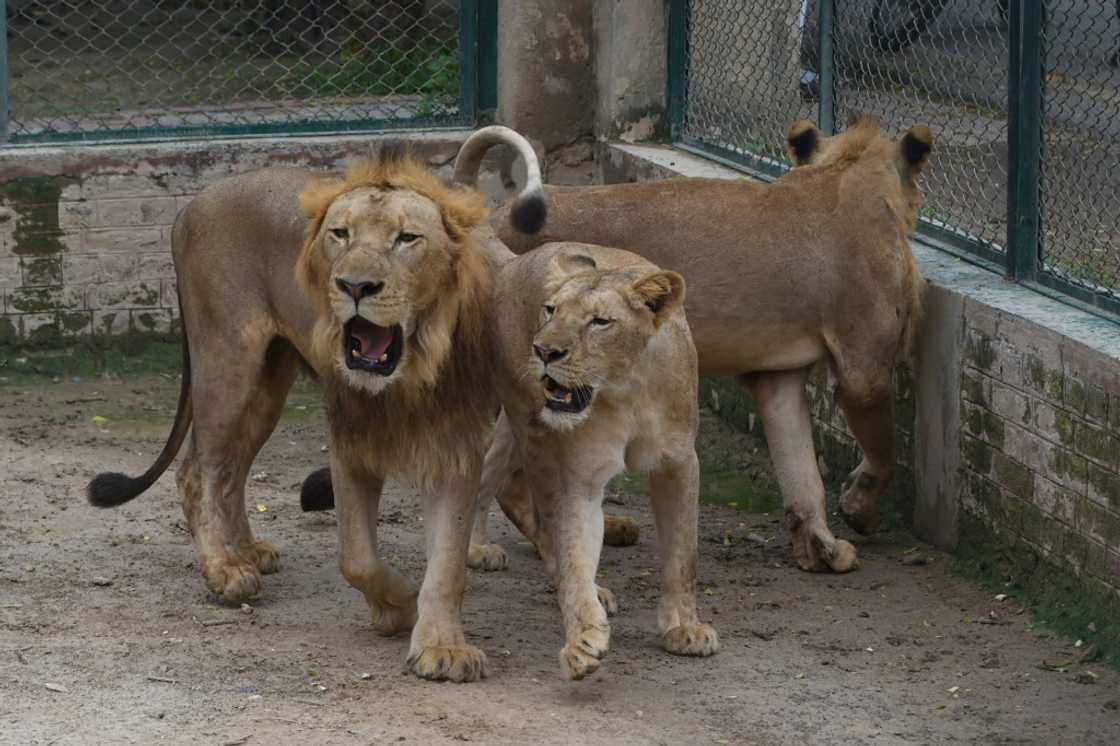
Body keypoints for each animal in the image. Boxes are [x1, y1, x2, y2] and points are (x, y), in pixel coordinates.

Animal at [84, 127, 545, 683]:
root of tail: (191, 205)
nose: (354, 286)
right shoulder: (349, 440)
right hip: (227, 359)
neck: (409, 372)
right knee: (199, 469)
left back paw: (247, 550)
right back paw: (225, 570)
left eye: (407, 239)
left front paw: (442, 647)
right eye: (340, 234)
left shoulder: (455, 447)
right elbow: (358, 558)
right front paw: (397, 605)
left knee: (232, 469)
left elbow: (448, 563)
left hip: (268, 381)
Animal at [457, 118, 931, 574]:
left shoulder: (776, 378)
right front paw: (859, 510)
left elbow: (801, 470)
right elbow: (882, 451)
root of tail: (492, 218)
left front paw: (820, 549)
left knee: (501, 470)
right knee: (506, 474)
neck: (847, 171)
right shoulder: (864, 371)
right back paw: (511, 550)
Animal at [485, 241, 718, 680]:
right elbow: (575, 553)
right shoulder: (581, 477)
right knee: (537, 516)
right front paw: (581, 640)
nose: (544, 351)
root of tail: (515, 259)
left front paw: (684, 628)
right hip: (533, 430)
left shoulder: (680, 462)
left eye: (600, 322)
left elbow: (683, 553)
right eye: (550, 310)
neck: (628, 390)